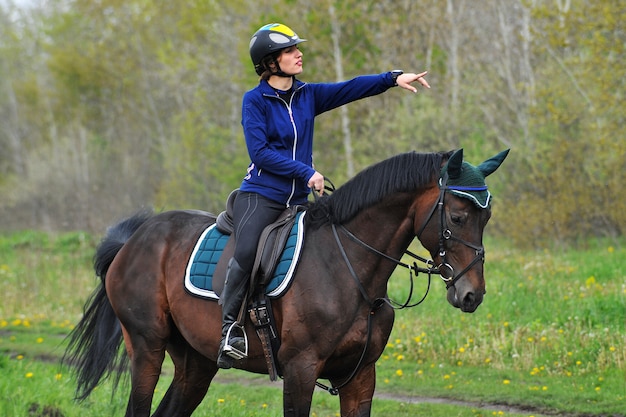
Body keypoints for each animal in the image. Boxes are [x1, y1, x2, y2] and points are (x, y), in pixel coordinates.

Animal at [62, 148, 508, 414]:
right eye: (457, 217)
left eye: (487, 216)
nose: (471, 294)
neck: (348, 267)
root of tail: (134, 240)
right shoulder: (300, 371)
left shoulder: (360, 377)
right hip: (147, 348)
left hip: (195, 363)